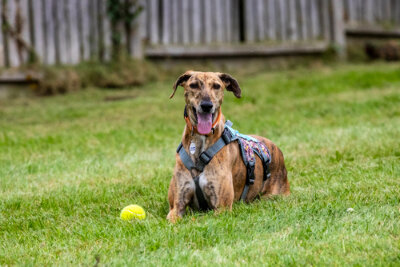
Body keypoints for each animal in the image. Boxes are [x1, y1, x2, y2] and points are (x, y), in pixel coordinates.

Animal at [167, 71, 290, 224]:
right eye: (194, 85)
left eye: (216, 86)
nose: (206, 105)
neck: (201, 139)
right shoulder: (176, 206)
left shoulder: (222, 209)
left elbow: (198, 219)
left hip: (272, 196)